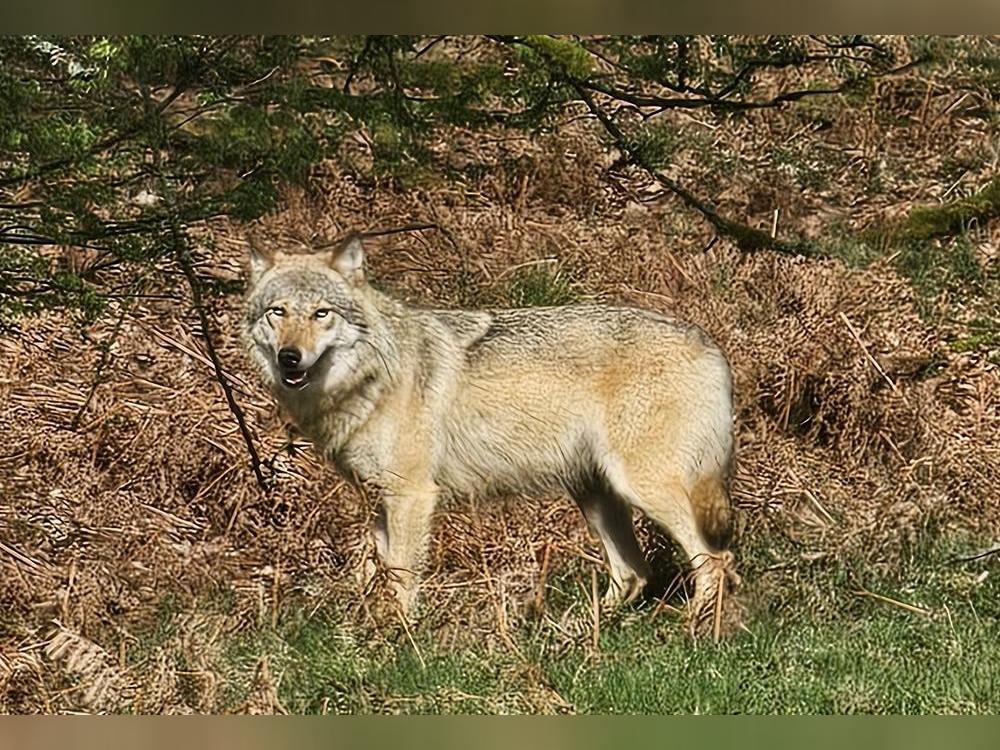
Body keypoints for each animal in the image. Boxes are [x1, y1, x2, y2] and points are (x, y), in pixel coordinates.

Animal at [246, 236, 740, 636]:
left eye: (321, 314)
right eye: (278, 312)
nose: (290, 357)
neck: (369, 378)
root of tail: (709, 343)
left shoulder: (412, 495)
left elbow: (403, 575)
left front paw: (399, 637)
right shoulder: (379, 500)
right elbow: (379, 573)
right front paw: (370, 630)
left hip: (642, 488)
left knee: (716, 562)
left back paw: (689, 628)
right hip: (595, 494)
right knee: (634, 573)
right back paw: (573, 631)